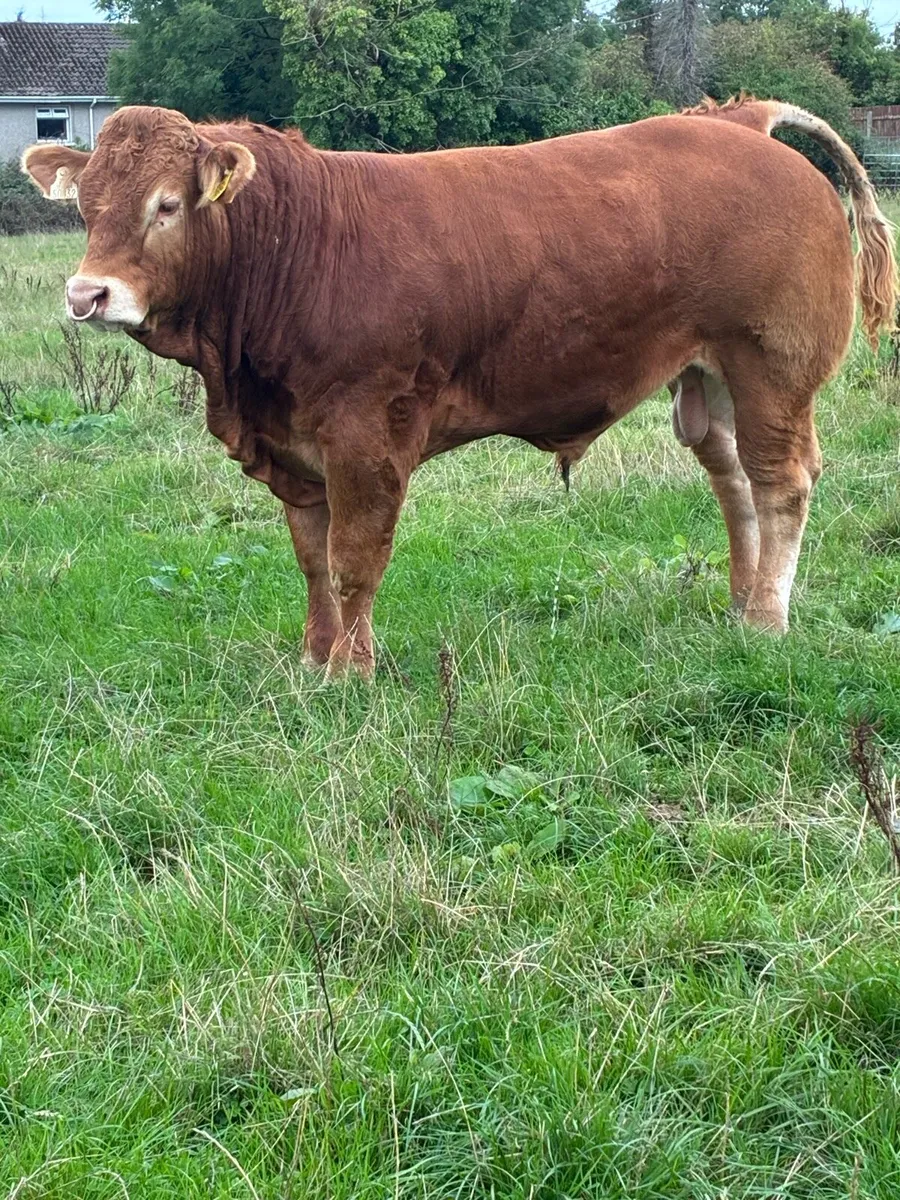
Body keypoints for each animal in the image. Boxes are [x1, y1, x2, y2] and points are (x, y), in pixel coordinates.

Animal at [22, 97, 897, 678]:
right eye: (87, 208)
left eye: (166, 205)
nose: (88, 295)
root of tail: (740, 121)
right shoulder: (293, 447)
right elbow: (311, 560)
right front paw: (315, 656)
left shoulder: (365, 436)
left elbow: (354, 558)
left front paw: (352, 670)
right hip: (708, 379)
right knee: (735, 480)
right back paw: (741, 610)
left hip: (771, 367)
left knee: (781, 482)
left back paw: (769, 620)